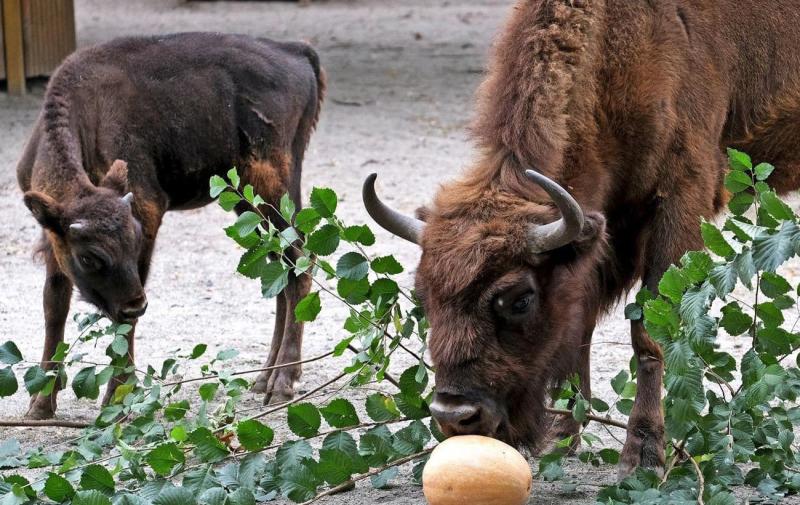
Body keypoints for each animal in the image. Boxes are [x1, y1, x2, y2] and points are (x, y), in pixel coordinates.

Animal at [15, 30, 324, 418]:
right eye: (88, 256)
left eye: (133, 241)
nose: (137, 304)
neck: (86, 115)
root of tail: (296, 50)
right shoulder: (52, 234)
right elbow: (54, 304)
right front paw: (40, 405)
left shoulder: (147, 211)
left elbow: (122, 322)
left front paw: (118, 400)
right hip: (249, 204)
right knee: (281, 267)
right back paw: (264, 378)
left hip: (272, 188)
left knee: (300, 259)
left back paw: (282, 384)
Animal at [362, 0, 800, 472]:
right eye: (421, 296)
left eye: (519, 300)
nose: (455, 414)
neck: (621, 46)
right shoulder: (607, 221)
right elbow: (581, 321)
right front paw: (562, 434)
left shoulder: (681, 197)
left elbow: (649, 329)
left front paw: (644, 452)